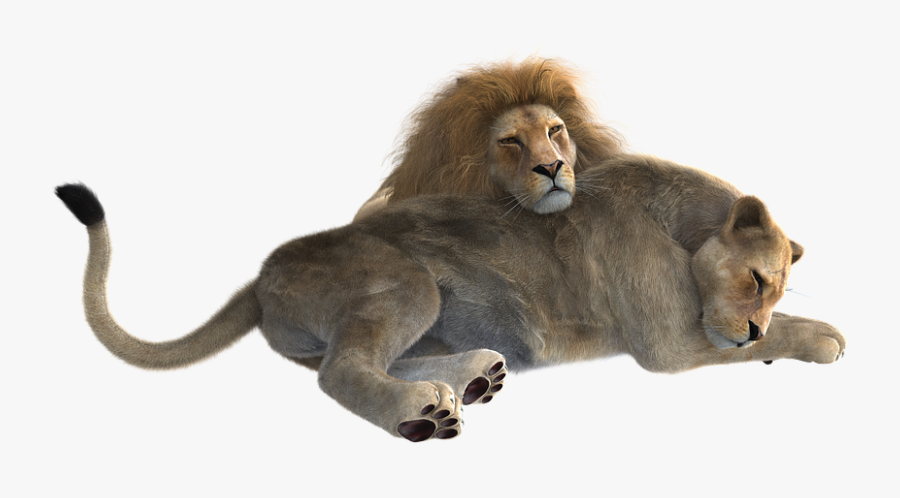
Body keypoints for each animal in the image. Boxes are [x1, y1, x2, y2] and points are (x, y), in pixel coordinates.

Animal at [56, 154, 846, 442]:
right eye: (756, 281)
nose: (748, 331)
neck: (684, 225)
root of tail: (261, 272)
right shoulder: (671, 345)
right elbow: (781, 337)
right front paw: (823, 338)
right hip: (407, 281)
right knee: (339, 371)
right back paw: (422, 414)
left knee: (364, 357)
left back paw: (471, 379)